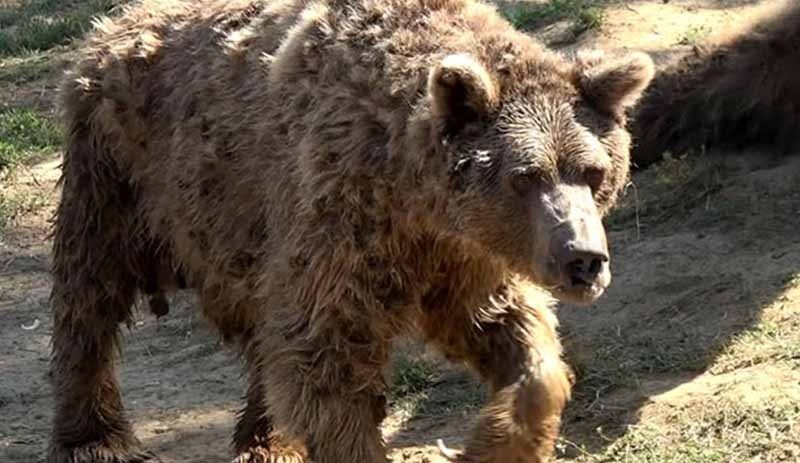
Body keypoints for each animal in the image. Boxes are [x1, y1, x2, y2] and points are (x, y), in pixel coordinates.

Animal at [47, 0, 652, 462]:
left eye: (593, 171)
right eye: (525, 177)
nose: (583, 258)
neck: (412, 192)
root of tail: (112, 24)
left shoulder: (460, 254)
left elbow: (510, 331)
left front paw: (496, 441)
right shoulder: (342, 215)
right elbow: (325, 351)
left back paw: (267, 441)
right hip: (119, 175)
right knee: (90, 294)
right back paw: (94, 439)